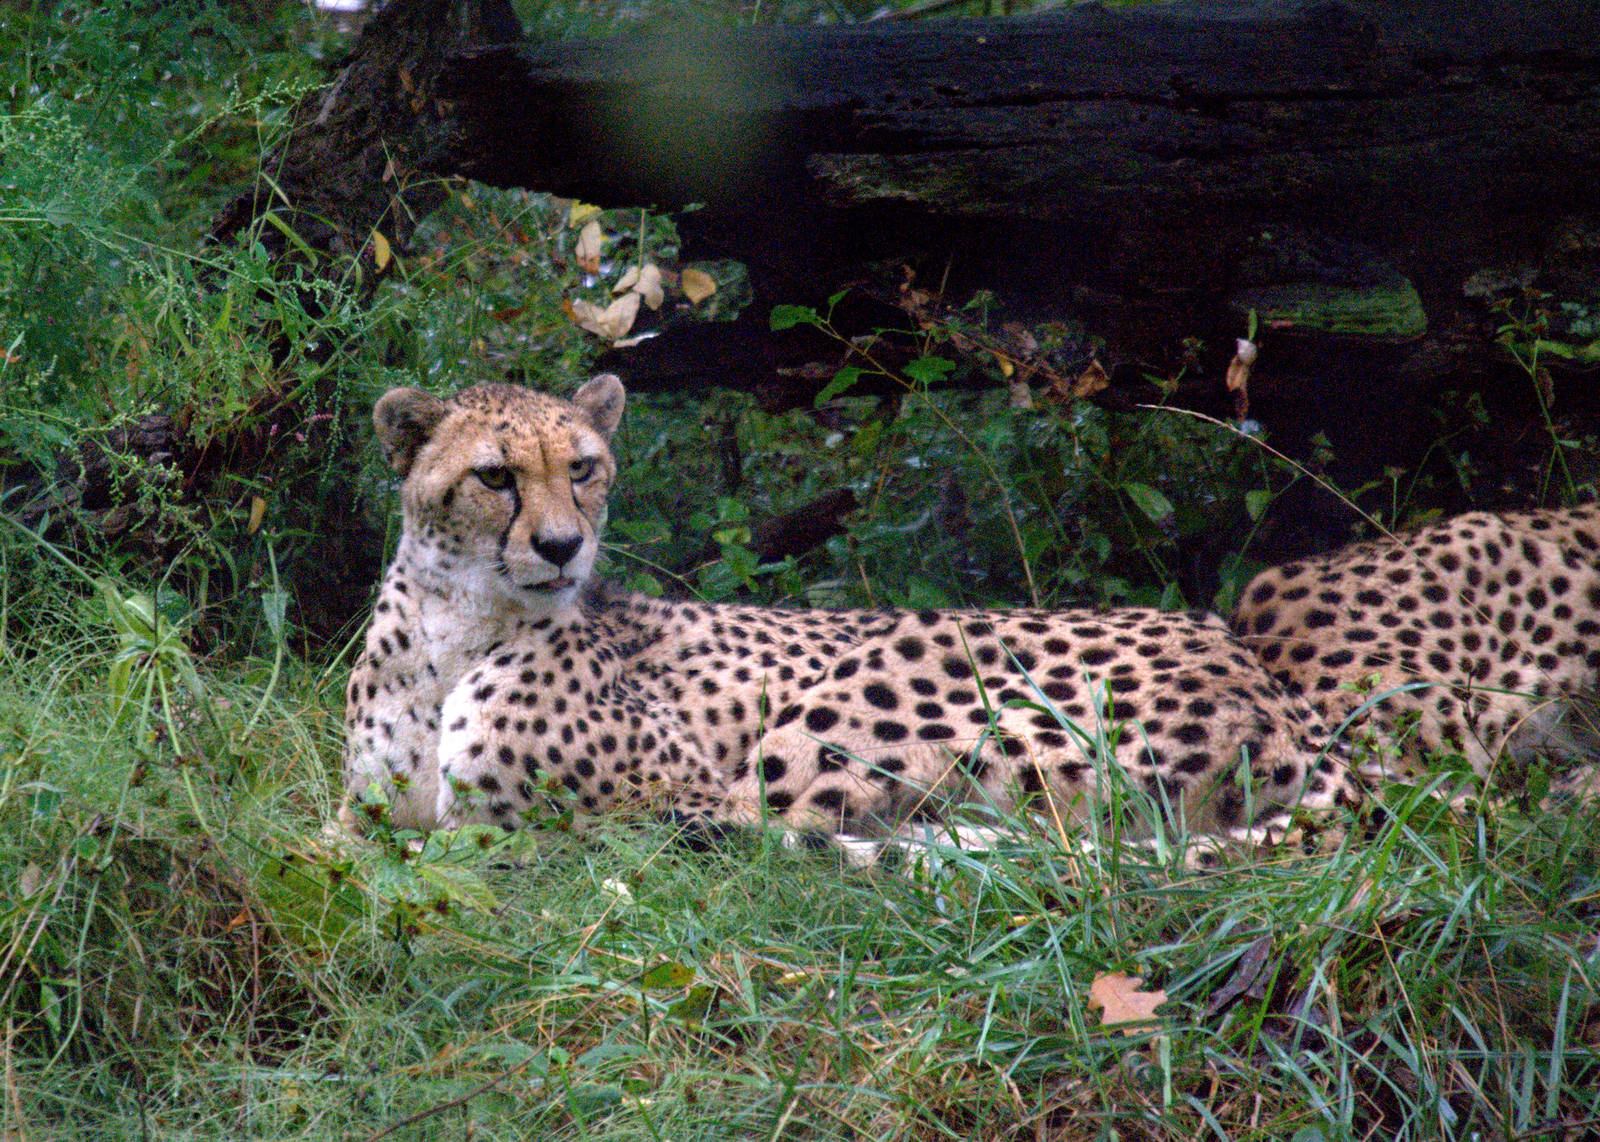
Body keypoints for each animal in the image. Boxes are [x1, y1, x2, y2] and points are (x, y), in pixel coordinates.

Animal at [343, 375, 1359, 849]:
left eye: (583, 467)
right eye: (496, 478)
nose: (562, 547)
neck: (456, 625)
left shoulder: (668, 795)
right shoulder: (358, 818)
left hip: (897, 666)